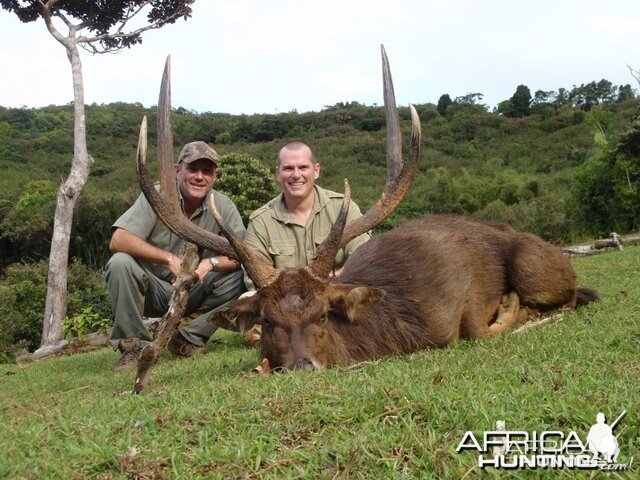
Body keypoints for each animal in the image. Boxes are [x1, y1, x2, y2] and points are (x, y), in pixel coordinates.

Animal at [136, 47, 600, 372]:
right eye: (267, 321)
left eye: (324, 315)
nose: (304, 367)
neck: (399, 324)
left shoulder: (463, 304)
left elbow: (482, 330)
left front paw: (506, 312)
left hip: (535, 265)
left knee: (569, 296)